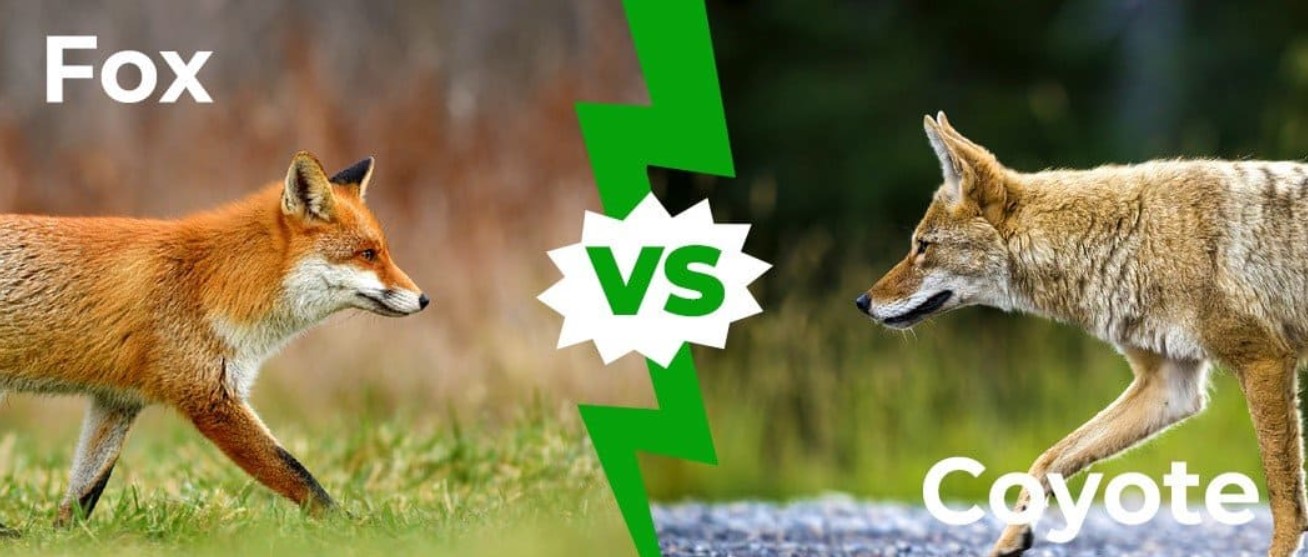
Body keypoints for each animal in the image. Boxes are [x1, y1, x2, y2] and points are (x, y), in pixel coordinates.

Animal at [0, 151, 427, 533]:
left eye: (383, 252)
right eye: (367, 254)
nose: (424, 299)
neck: (213, 282)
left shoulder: (117, 402)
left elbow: (85, 493)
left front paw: (60, 537)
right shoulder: (212, 399)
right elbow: (298, 474)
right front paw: (356, 531)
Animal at [857, 112, 1308, 556]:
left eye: (923, 246)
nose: (862, 302)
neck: (1130, 240)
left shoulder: (1264, 359)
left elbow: (1285, 501)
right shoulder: (1170, 387)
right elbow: (1048, 459)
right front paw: (1011, 539)